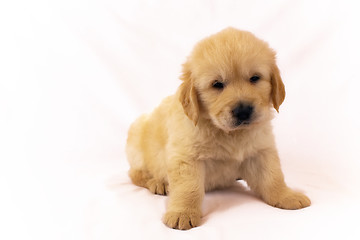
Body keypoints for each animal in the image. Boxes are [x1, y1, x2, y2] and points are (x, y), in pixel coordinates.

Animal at [126, 27, 310, 230]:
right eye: (217, 84)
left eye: (255, 78)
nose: (243, 111)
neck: (228, 133)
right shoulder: (186, 156)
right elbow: (188, 188)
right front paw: (183, 212)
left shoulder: (260, 150)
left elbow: (272, 177)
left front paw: (287, 195)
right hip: (136, 136)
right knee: (135, 173)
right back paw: (157, 182)